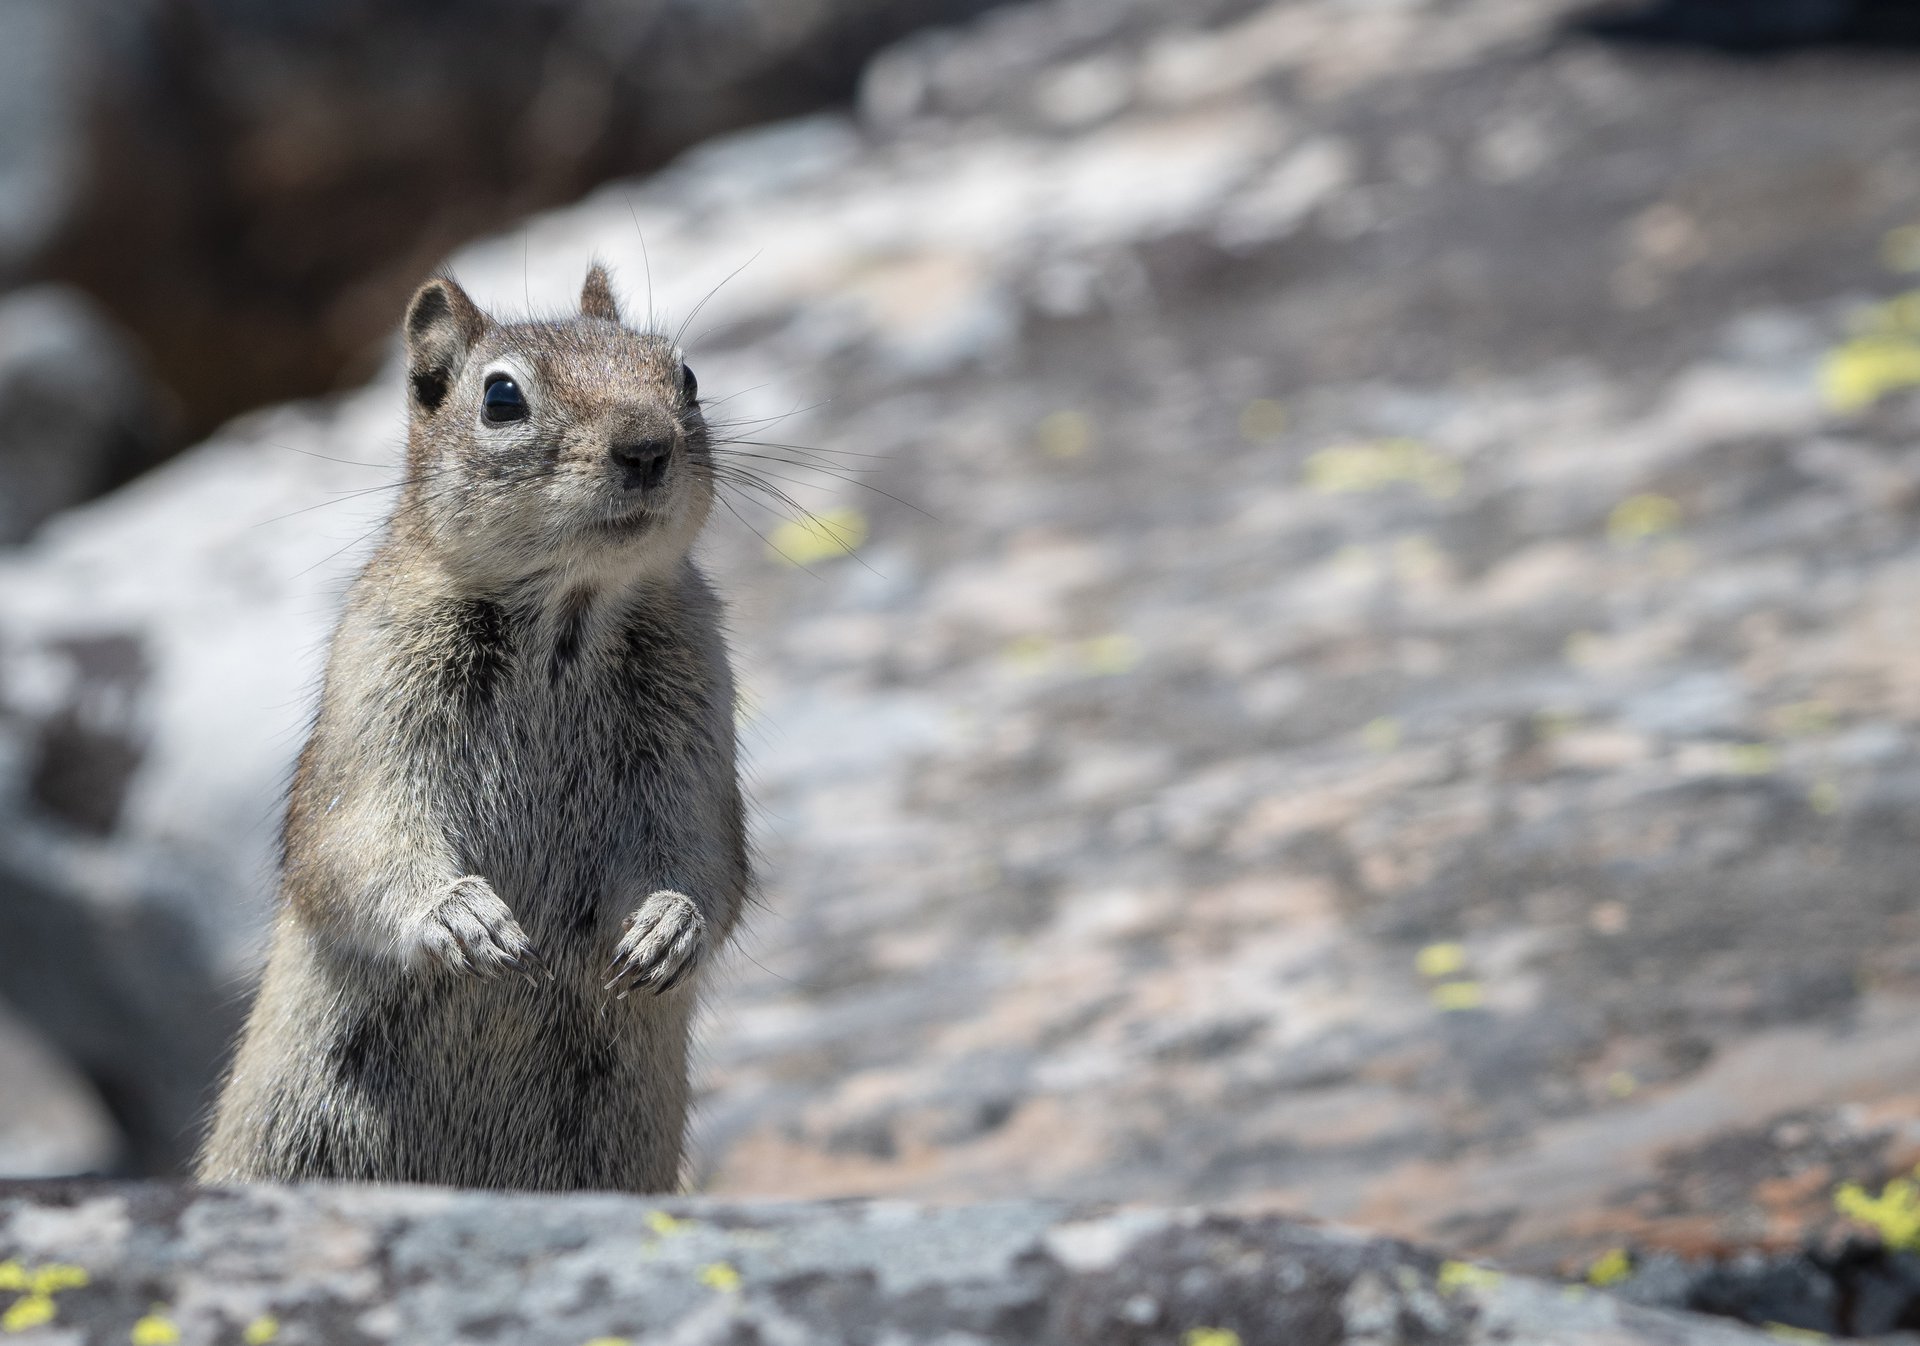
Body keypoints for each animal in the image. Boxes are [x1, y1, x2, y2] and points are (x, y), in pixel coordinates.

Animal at [197, 265, 750, 1192]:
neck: (565, 618)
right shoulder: (379, 715)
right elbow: (364, 843)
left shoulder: (696, 740)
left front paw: (668, 927)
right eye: (501, 397)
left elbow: (708, 861)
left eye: (687, 378)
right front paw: (465, 919)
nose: (646, 447)